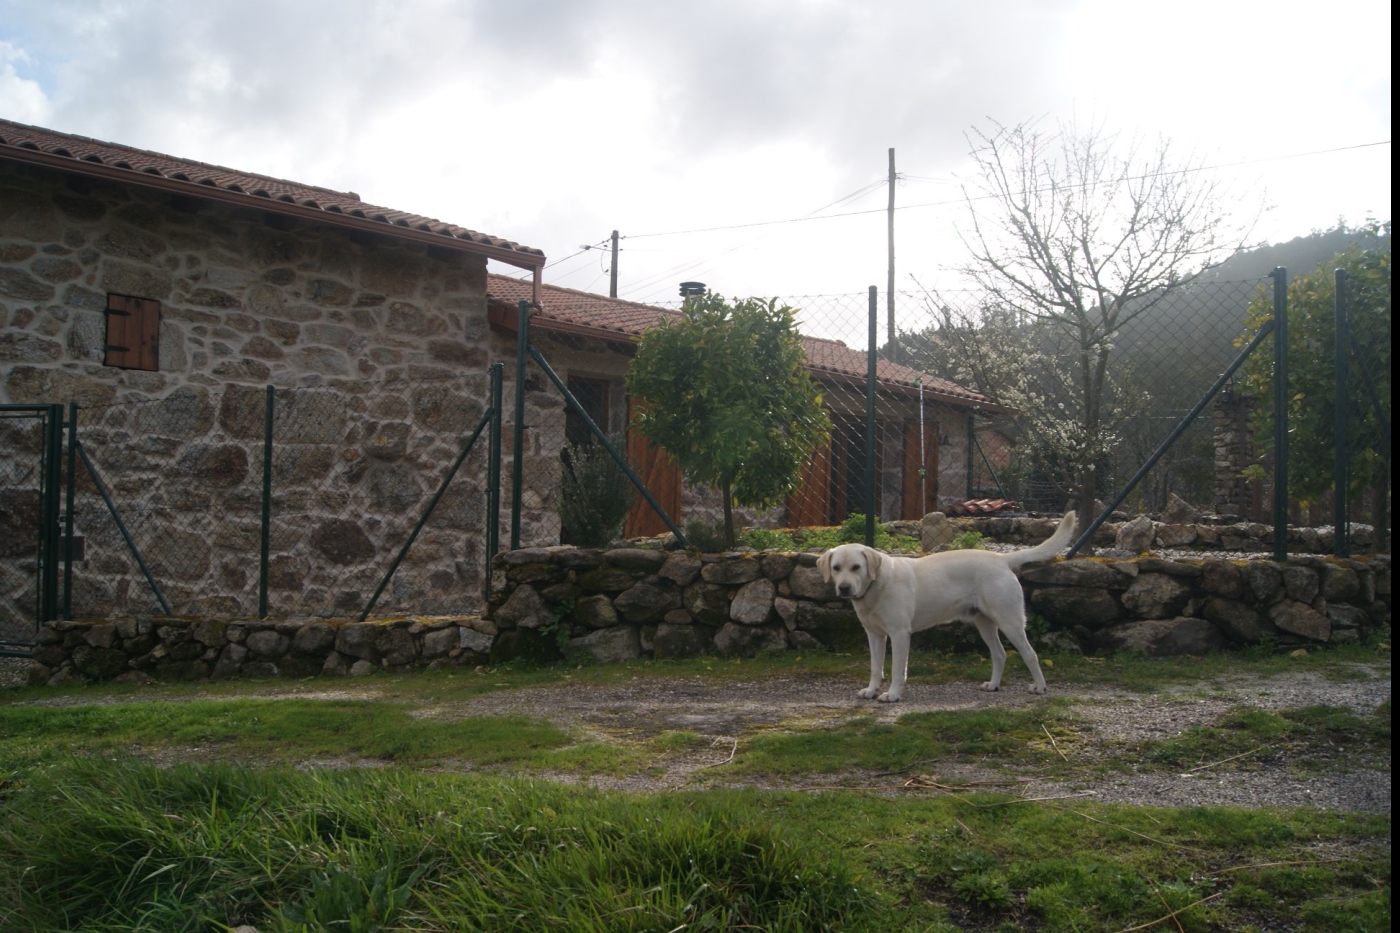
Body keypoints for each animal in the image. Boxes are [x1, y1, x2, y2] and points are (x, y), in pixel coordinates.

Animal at [817, 512, 1075, 700]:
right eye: (836, 568)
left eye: (857, 567)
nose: (844, 588)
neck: (876, 586)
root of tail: (1001, 558)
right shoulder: (875, 635)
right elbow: (875, 667)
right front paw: (871, 691)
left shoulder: (899, 634)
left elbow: (897, 670)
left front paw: (892, 695)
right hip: (984, 624)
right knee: (1000, 654)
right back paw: (993, 685)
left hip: (1010, 622)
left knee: (1030, 654)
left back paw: (1040, 687)